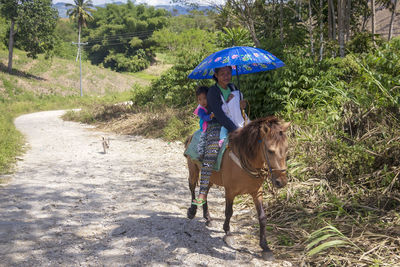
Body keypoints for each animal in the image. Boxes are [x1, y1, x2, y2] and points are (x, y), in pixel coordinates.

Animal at [184, 115, 290, 262]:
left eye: (286, 149)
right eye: (270, 150)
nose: (281, 182)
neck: (245, 159)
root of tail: (192, 135)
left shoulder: (257, 192)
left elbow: (262, 217)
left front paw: (265, 247)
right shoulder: (230, 191)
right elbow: (229, 212)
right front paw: (228, 233)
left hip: (211, 177)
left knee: (205, 191)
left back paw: (208, 218)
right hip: (193, 168)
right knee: (192, 186)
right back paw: (192, 211)